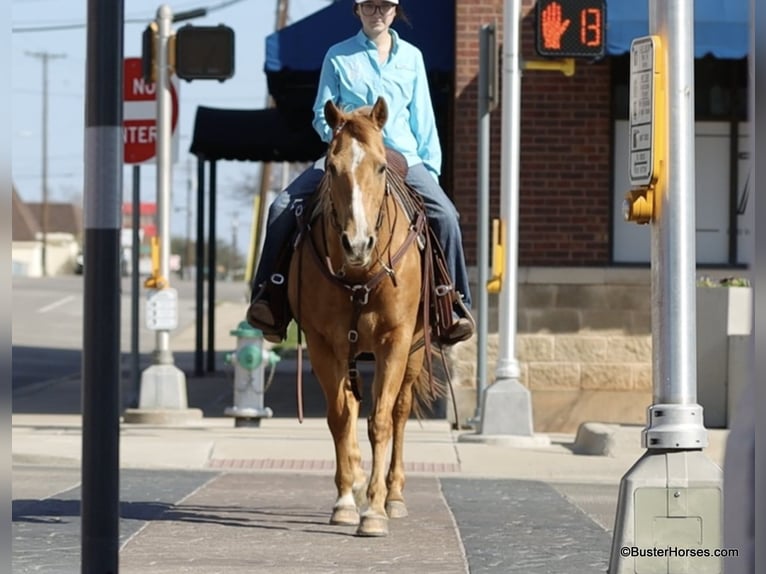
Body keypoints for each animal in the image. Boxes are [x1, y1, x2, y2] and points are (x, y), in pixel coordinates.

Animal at [288, 97, 438, 536]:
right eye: (331, 166)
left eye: (381, 167)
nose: (357, 244)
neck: (358, 274)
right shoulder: (322, 344)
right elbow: (341, 417)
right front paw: (345, 501)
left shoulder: (395, 341)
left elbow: (381, 420)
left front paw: (374, 511)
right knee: (351, 406)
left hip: (414, 353)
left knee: (401, 411)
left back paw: (394, 495)